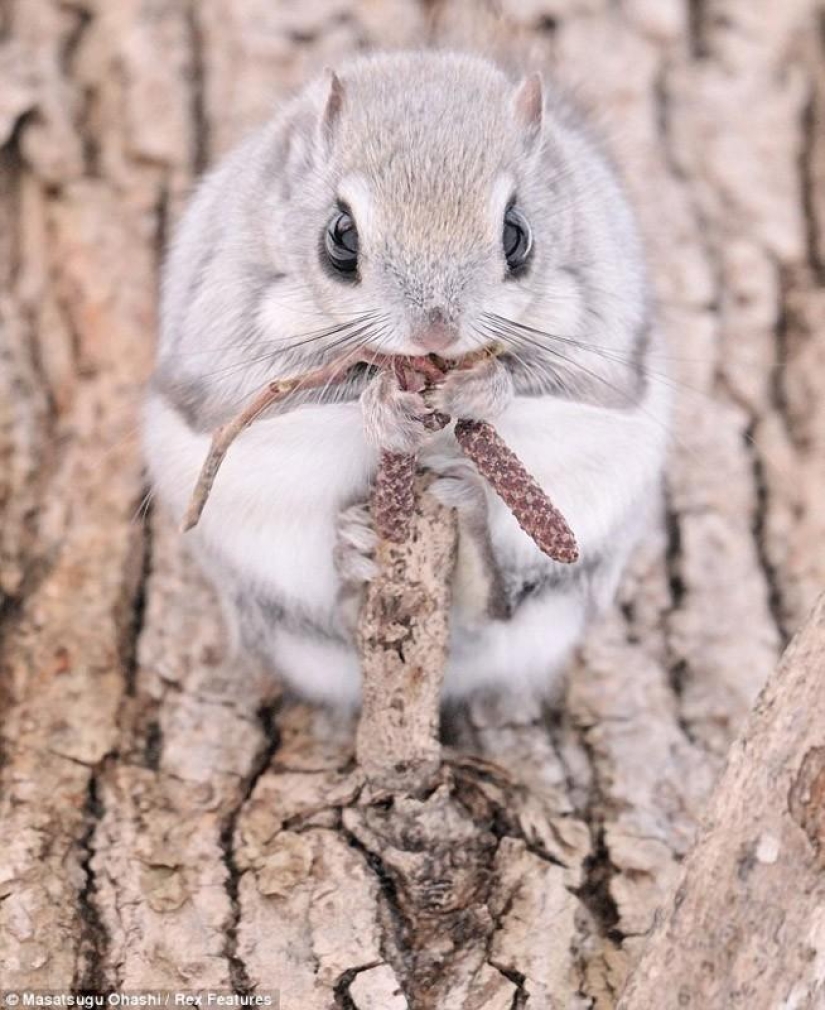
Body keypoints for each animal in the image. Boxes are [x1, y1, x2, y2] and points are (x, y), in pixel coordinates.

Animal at [143, 51, 670, 707]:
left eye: (516, 234)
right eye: (341, 236)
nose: (435, 331)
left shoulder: (600, 328)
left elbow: (551, 374)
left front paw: (481, 388)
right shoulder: (229, 320)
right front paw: (382, 406)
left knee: (496, 608)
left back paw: (468, 522)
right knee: (340, 621)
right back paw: (353, 555)